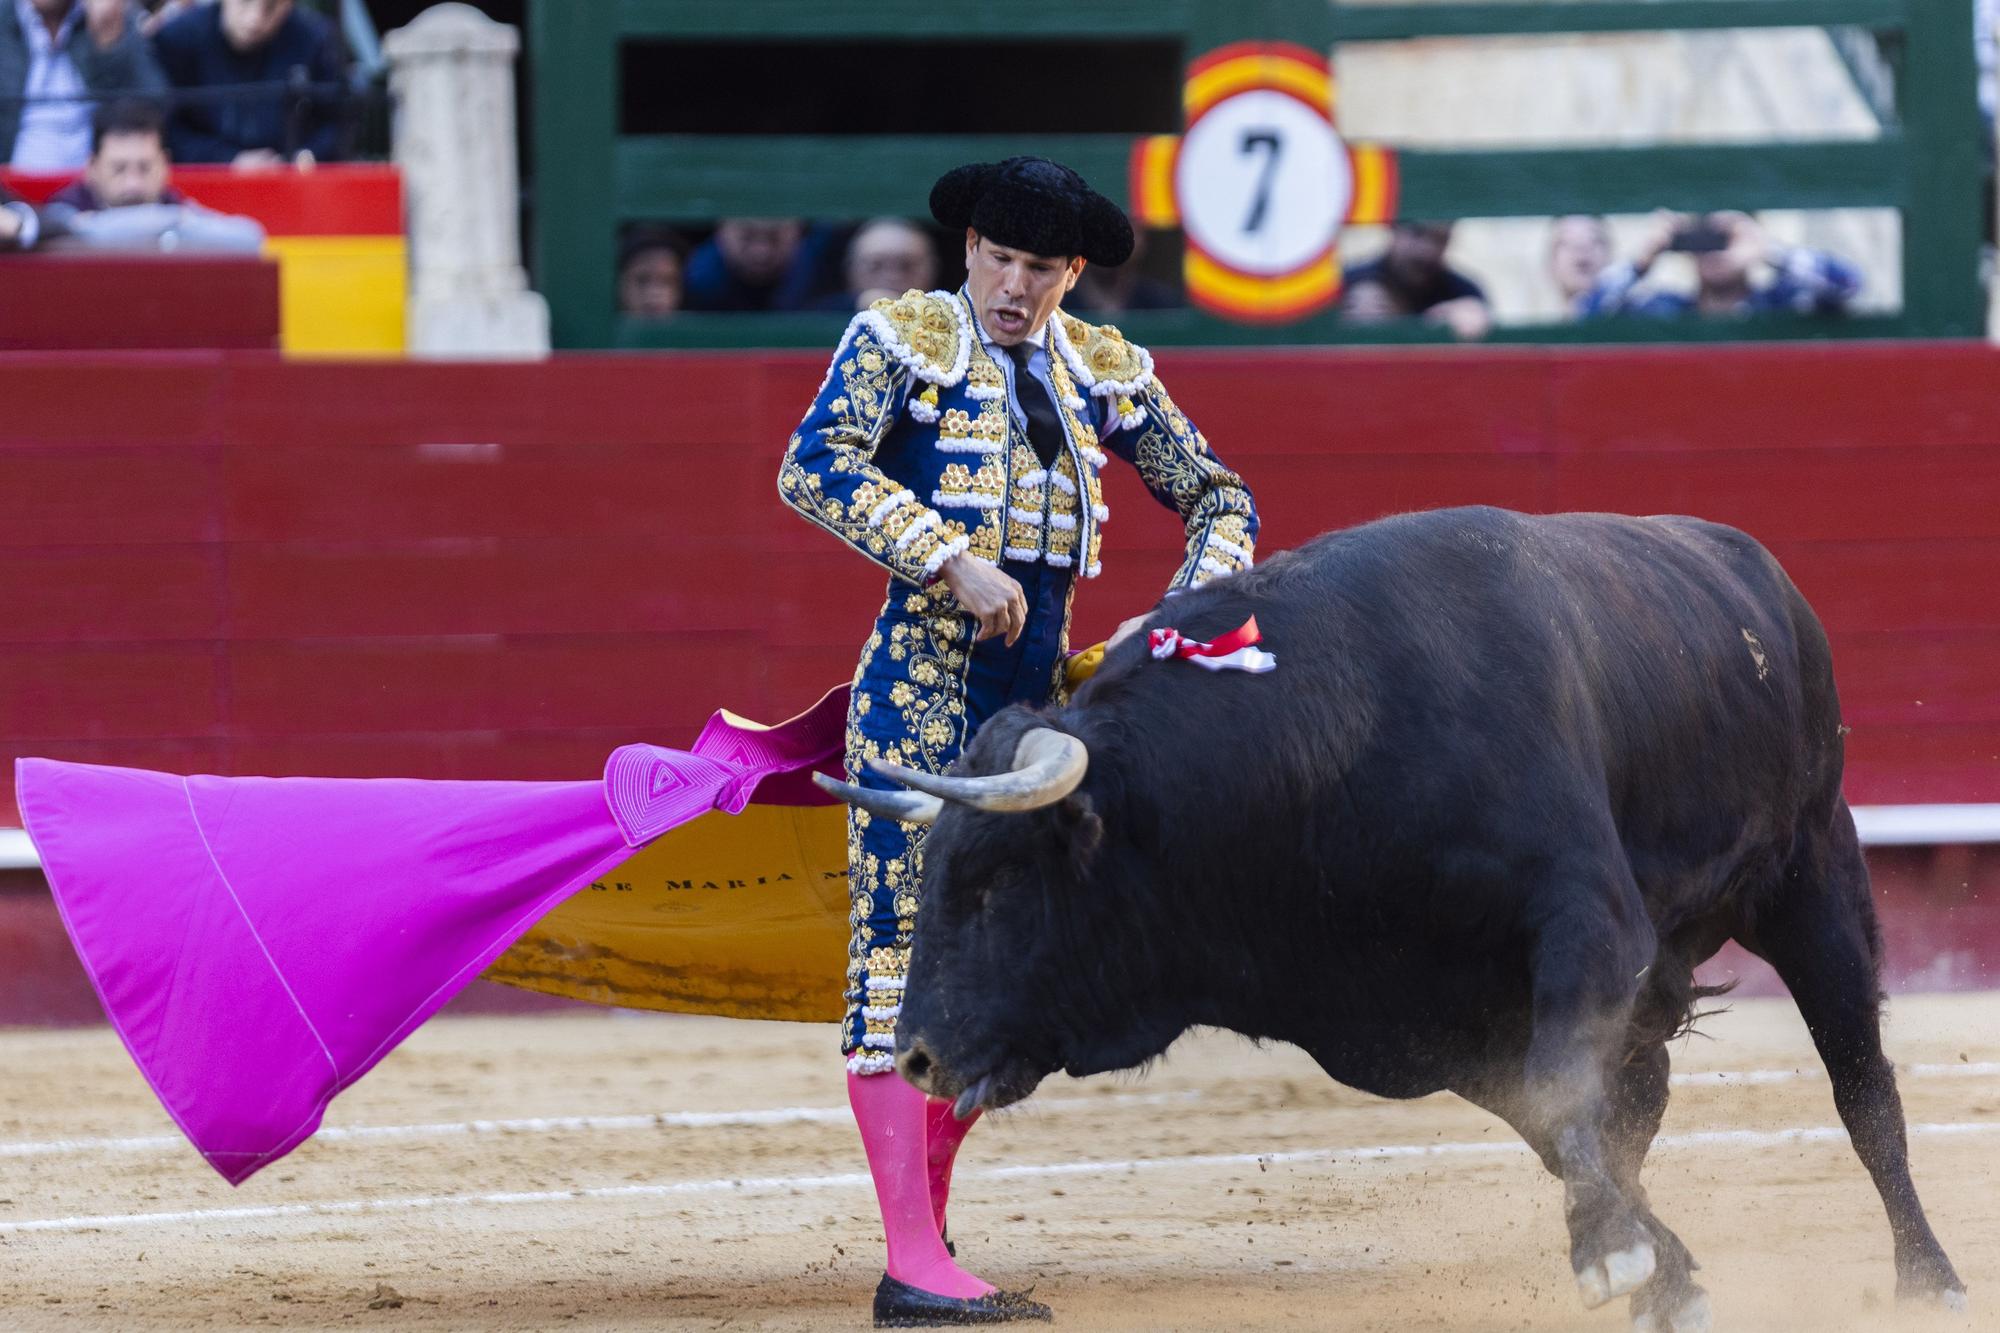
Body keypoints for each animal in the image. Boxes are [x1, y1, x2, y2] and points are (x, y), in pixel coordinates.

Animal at [816, 506, 1968, 1328]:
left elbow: (1563, 1092)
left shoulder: (1588, 923)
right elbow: (1560, 1120)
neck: (1321, 753)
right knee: (1640, 1106)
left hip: (1814, 872)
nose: (916, 1056)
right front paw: (1660, 1272)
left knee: (1863, 1090)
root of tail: (1753, 567)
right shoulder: (1399, 1021)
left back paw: (1930, 1278)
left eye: (998, 885)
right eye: (934, 877)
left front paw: (1617, 1257)